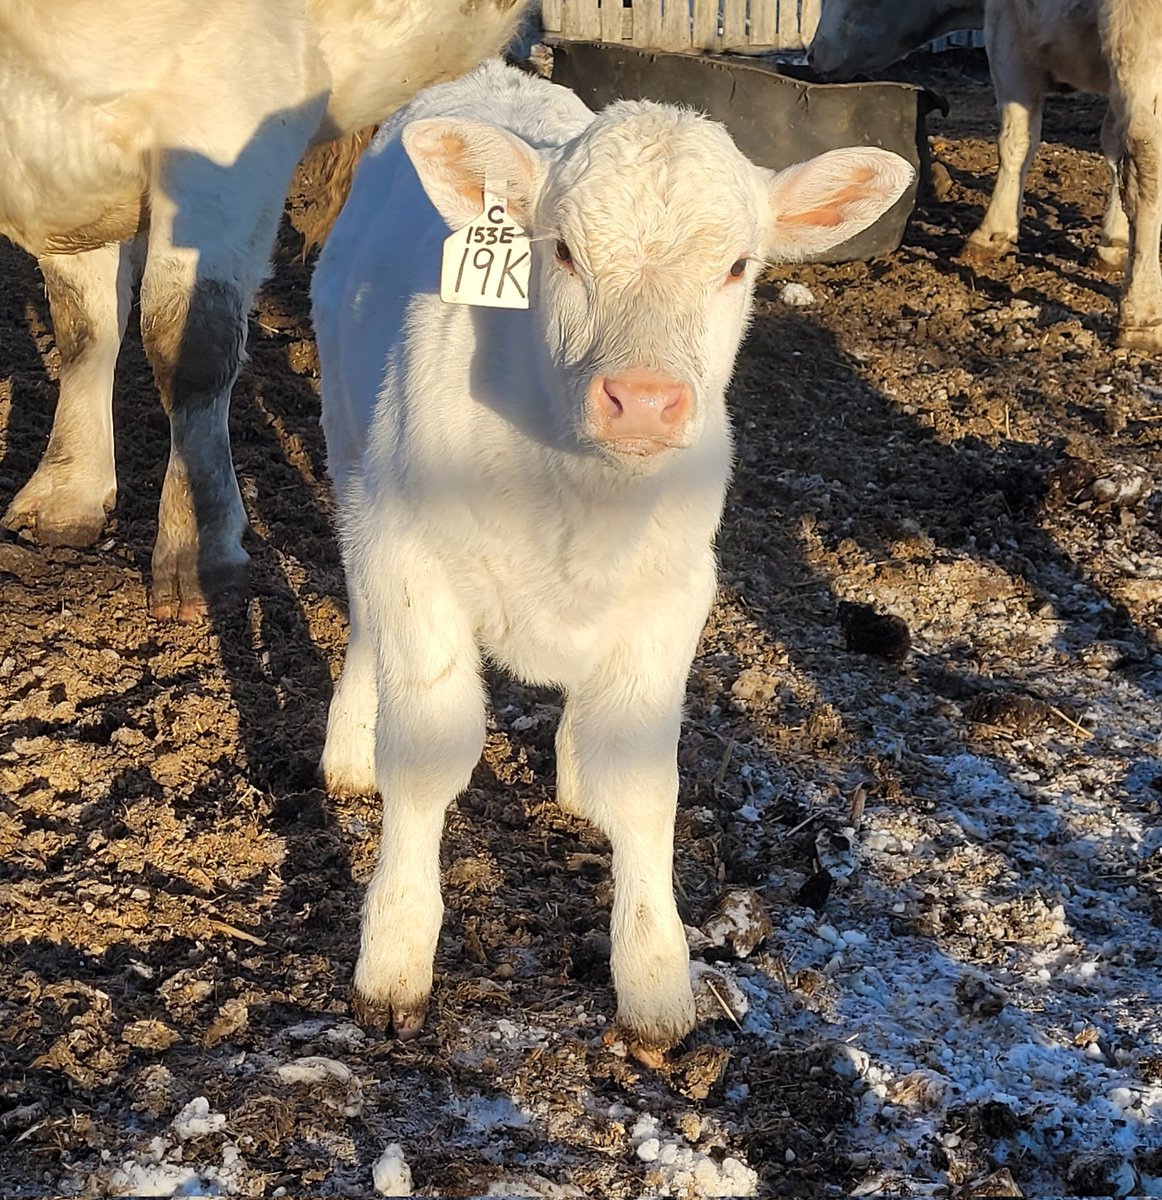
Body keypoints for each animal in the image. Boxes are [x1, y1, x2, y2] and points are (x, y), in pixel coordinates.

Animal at [311, 59, 914, 1051]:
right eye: (560, 252)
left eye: (737, 266)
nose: (644, 399)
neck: (574, 498)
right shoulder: (409, 554)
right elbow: (428, 757)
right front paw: (393, 960)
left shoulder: (673, 595)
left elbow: (641, 785)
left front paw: (657, 984)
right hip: (347, 439)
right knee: (360, 607)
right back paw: (349, 745)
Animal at [808, 0, 1162, 352]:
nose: (811, 55)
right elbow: (1112, 148)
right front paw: (1113, 242)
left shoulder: (1007, 34)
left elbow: (1016, 138)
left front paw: (992, 233)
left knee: (1147, 166)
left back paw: (1141, 314)